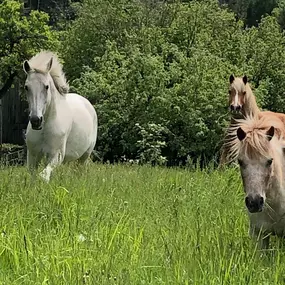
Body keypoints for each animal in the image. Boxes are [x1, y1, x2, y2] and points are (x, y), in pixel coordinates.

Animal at [22, 50, 97, 181]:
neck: (45, 129)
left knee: (80, 170)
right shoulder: (32, 155)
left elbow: (44, 176)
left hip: (85, 156)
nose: (36, 120)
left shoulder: (56, 156)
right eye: (26, 87)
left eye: (46, 86)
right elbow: (33, 177)